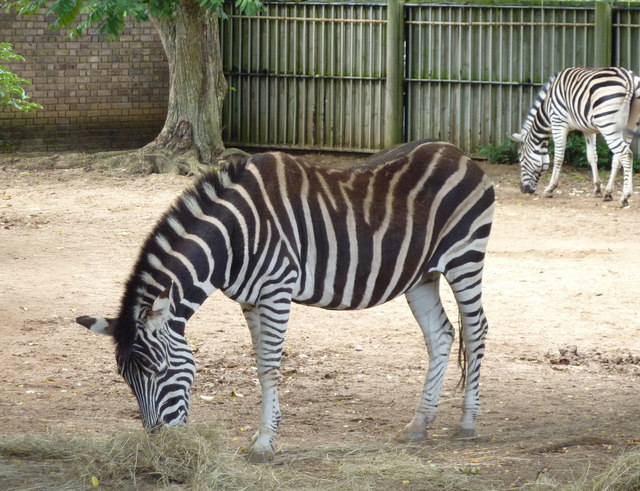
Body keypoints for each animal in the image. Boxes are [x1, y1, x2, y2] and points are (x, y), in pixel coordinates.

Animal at [75, 140, 495, 462]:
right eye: (126, 379)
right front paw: (262, 437)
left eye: (159, 371)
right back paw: (418, 425)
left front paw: (264, 443)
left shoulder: (276, 291)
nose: (161, 444)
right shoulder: (248, 300)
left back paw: (468, 423)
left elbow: (270, 368)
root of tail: (457, 152)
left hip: (464, 257)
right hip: (421, 275)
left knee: (476, 330)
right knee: (441, 335)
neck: (234, 236)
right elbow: (259, 363)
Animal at [510, 66, 640, 206]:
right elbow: (592, 156)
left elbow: (558, 157)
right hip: (630, 124)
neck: (547, 106)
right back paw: (608, 192)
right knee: (618, 157)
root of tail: (628, 77)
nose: (523, 190)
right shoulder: (588, 129)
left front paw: (550, 189)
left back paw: (625, 197)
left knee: (626, 154)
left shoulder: (558, 123)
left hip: (608, 123)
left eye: (520, 157)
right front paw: (597, 188)